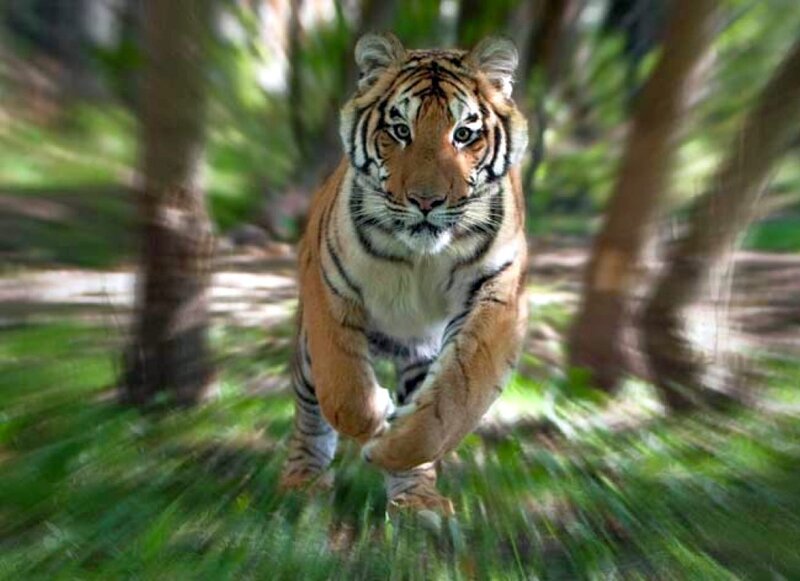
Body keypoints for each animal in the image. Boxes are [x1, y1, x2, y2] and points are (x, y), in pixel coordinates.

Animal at [279, 32, 529, 515]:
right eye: (399, 130)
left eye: (463, 134)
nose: (426, 201)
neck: (422, 256)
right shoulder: (328, 286)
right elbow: (342, 389)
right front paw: (374, 415)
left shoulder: (498, 295)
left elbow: (455, 401)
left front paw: (390, 448)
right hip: (305, 351)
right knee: (309, 411)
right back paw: (303, 480)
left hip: (421, 353)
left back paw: (417, 500)